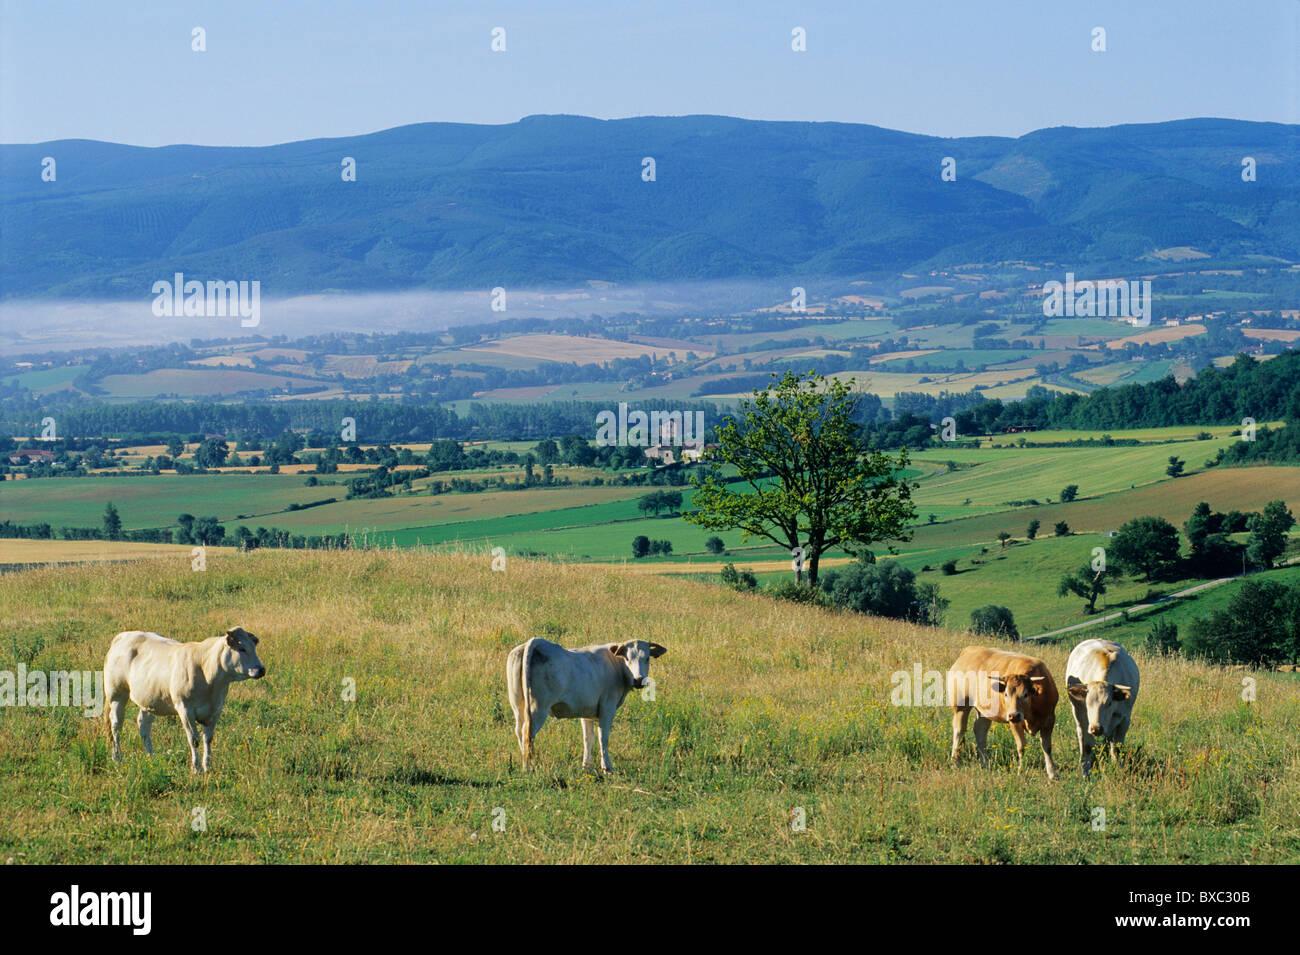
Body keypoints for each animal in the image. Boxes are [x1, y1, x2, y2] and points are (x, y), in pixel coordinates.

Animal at [104, 628, 266, 779]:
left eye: (254, 647)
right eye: (241, 648)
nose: (261, 669)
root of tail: (124, 635)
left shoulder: (215, 710)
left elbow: (208, 739)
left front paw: (208, 767)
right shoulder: (185, 709)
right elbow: (194, 740)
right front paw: (196, 768)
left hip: (150, 699)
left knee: (143, 726)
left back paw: (151, 757)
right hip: (117, 695)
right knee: (116, 726)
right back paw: (117, 758)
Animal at [504, 639, 665, 774]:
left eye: (647, 658)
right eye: (627, 658)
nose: (638, 680)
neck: (615, 666)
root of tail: (535, 642)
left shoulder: (587, 711)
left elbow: (588, 738)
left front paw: (586, 766)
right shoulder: (608, 708)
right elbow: (603, 738)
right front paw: (607, 768)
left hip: (518, 706)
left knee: (519, 731)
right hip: (538, 708)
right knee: (528, 733)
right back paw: (528, 767)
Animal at [951, 647, 1060, 779]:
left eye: (1025, 694)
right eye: (1006, 694)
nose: (1014, 714)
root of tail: (969, 650)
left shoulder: (1049, 719)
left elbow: (1047, 747)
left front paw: (1052, 773)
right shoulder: (1015, 722)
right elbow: (1021, 747)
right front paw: (1021, 771)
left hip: (985, 711)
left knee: (980, 730)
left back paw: (985, 764)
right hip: (961, 706)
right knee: (959, 730)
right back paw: (955, 762)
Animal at [1066, 634, 1138, 779]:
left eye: (1109, 703)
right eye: (1087, 703)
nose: (1096, 728)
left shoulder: (1125, 720)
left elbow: (1117, 749)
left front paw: (1120, 771)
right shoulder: (1084, 720)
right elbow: (1087, 746)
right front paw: (1086, 773)